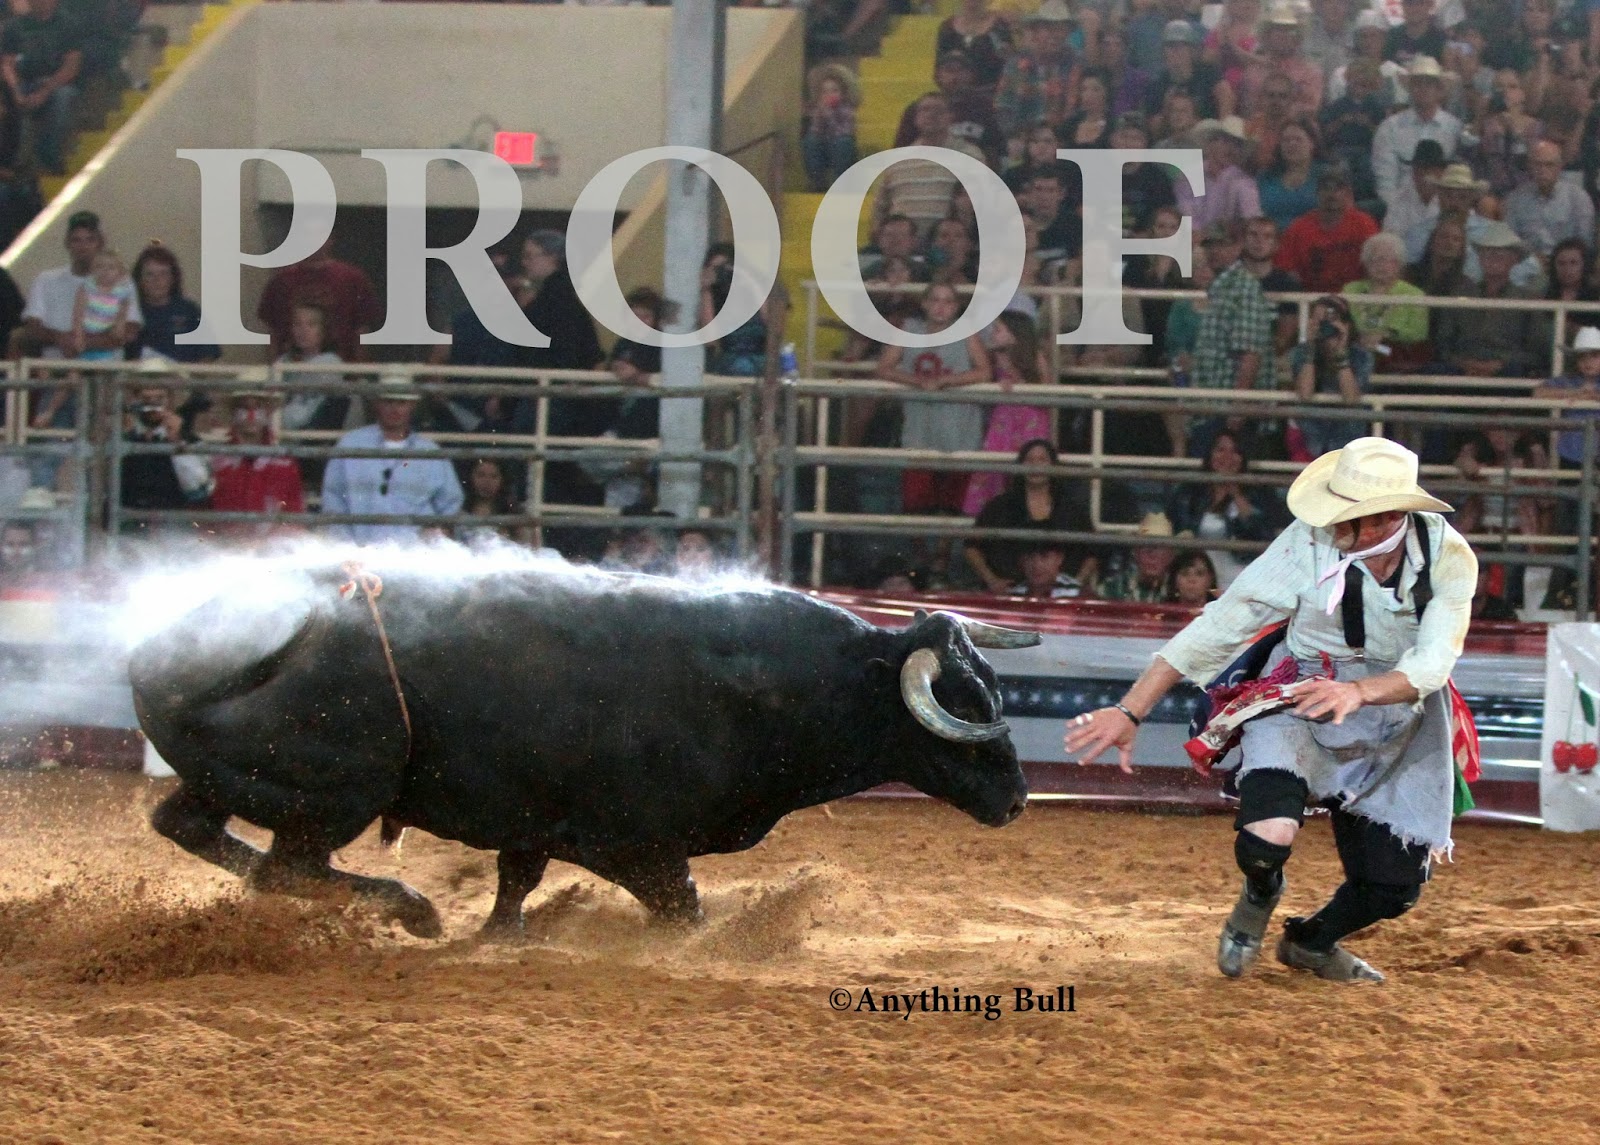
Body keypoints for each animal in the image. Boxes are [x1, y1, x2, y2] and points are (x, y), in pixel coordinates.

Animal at [129, 558, 1037, 939]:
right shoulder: (632, 843)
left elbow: (515, 881)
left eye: (993, 684)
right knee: (290, 869)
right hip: (336, 795)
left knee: (195, 828)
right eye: (962, 702)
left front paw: (503, 934)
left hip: (245, 784)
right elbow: (682, 907)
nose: (1018, 797)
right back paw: (412, 908)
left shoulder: (532, 821)